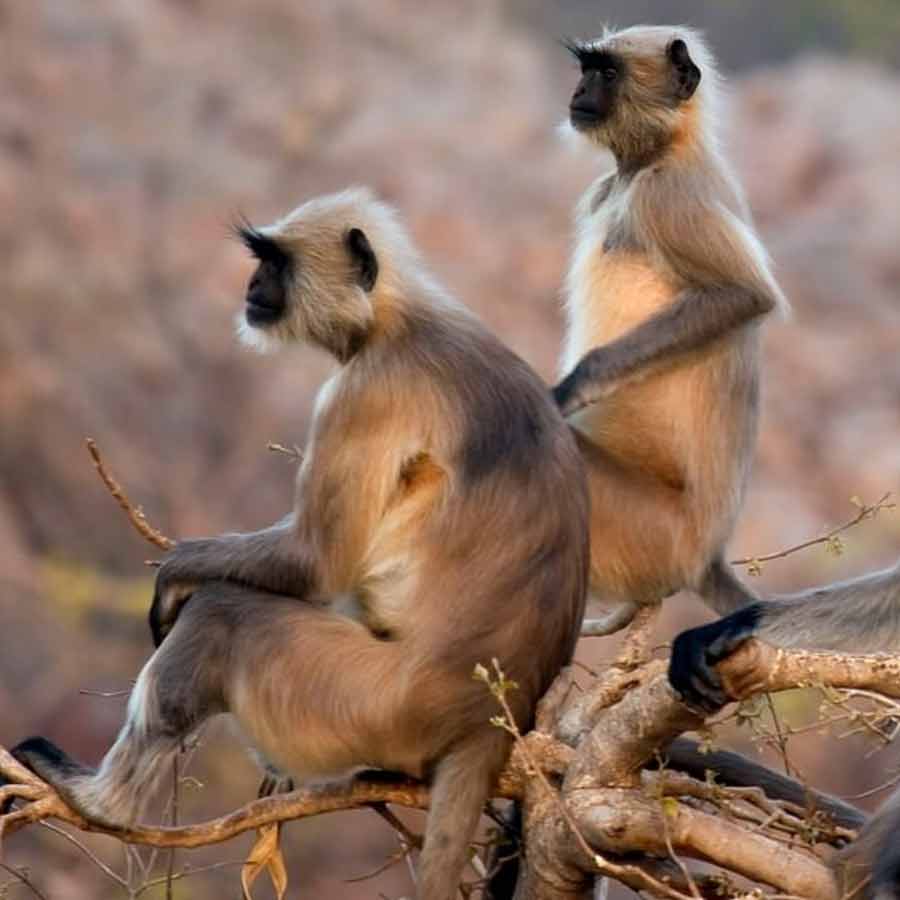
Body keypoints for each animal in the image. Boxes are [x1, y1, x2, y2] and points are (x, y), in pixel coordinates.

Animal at [6, 188, 590, 900]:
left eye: (274, 263)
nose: (252, 288)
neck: (394, 319)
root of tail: (484, 717)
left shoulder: (365, 392)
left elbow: (314, 564)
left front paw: (175, 574)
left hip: (367, 701)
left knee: (224, 614)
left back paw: (101, 802)